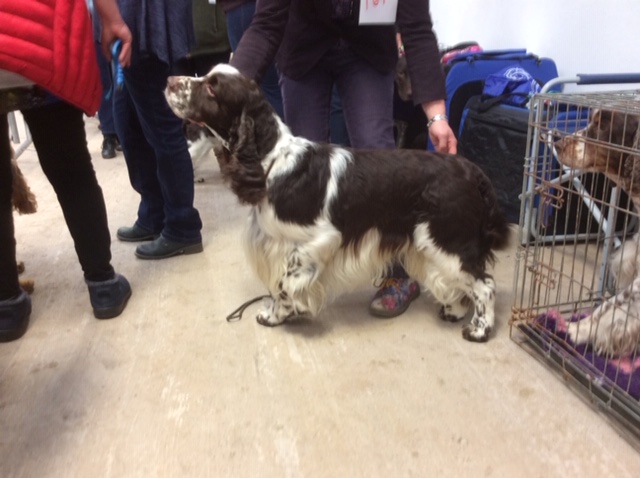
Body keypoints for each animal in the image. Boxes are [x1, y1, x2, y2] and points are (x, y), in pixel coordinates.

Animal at [164, 64, 511, 342]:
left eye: (212, 87)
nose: (169, 80)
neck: (272, 160)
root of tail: (470, 169)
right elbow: (279, 283)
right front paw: (275, 315)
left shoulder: (319, 239)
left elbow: (286, 283)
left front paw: (283, 313)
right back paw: (453, 310)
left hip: (446, 239)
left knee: (485, 284)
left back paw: (479, 329)